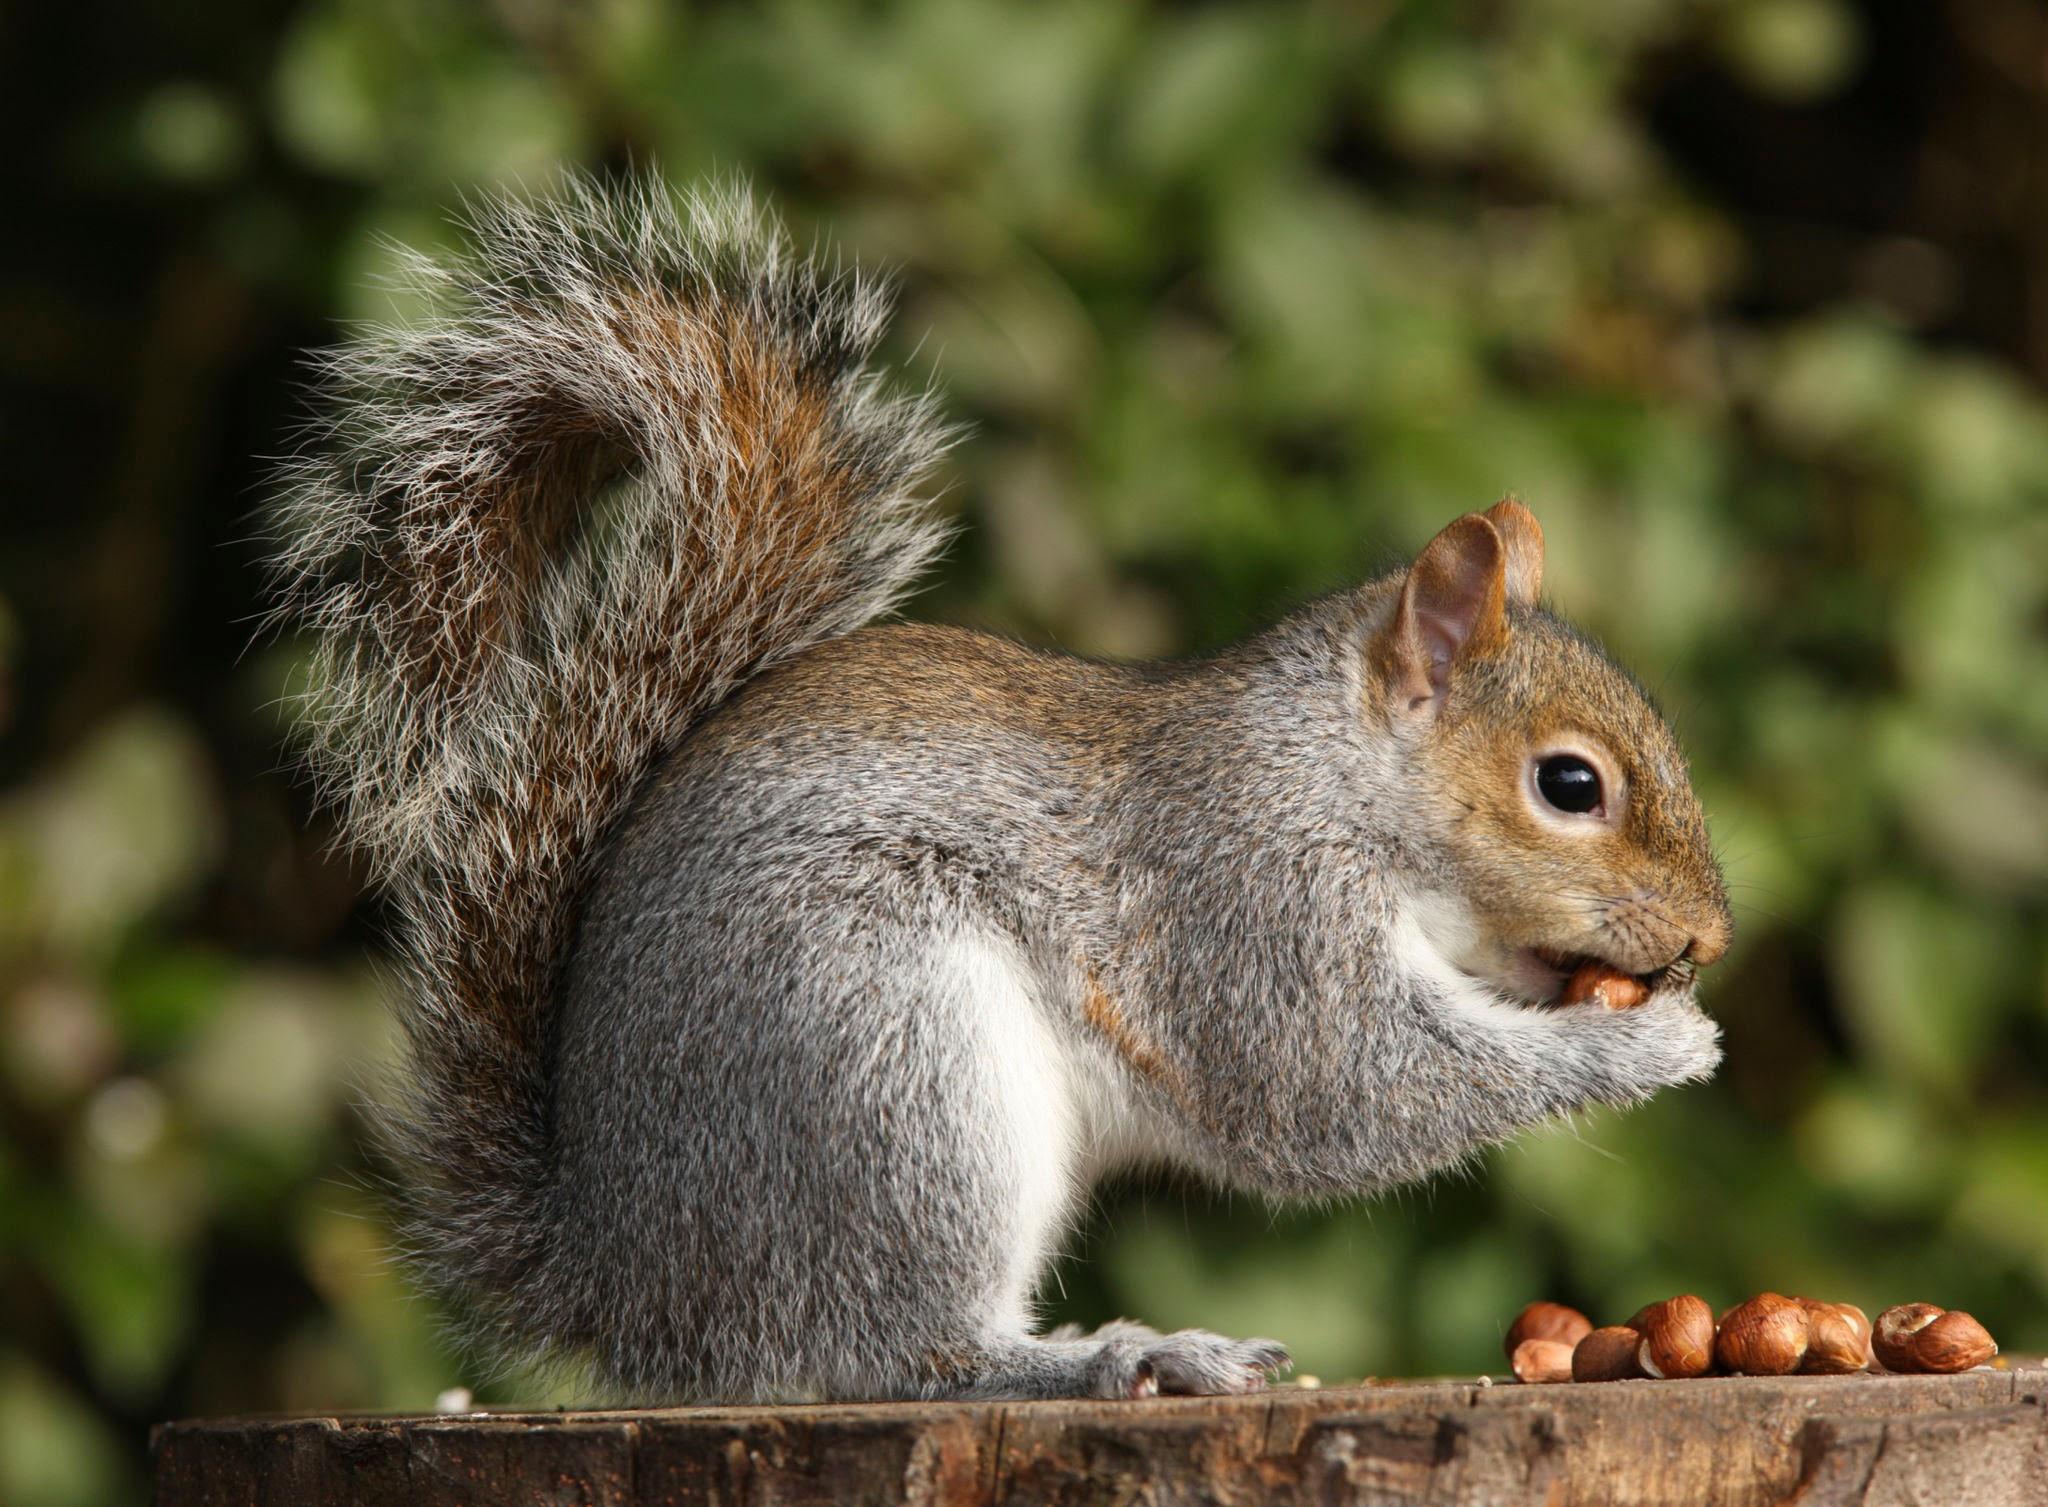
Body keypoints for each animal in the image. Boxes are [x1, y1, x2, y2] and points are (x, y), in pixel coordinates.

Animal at [266, 175, 1733, 1403]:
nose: (1711, 936)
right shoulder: (1249, 903)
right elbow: (1339, 1091)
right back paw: (1115, 1356)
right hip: (889, 1058)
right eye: (1568, 784)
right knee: (895, 1351)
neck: (1333, 775)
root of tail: (630, 1283)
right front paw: (1648, 1045)